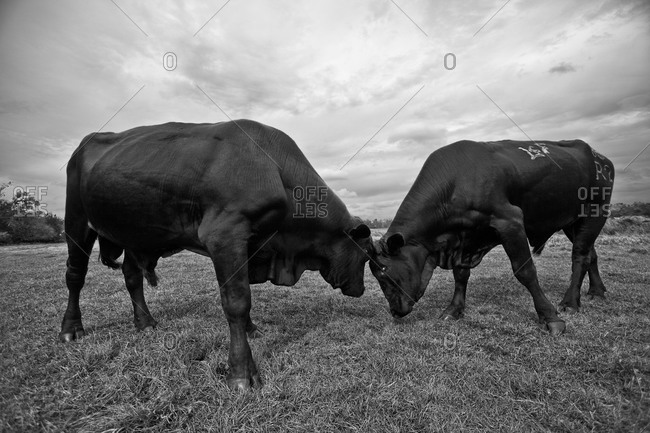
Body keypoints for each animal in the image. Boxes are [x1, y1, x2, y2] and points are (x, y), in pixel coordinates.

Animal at [61, 120, 372, 390]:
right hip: (76, 221)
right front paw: (241, 373)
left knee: (132, 276)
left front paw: (251, 329)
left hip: (135, 234)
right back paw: (71, 328)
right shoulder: (225, 235)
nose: (361, 289)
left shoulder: (247, 247)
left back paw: (145, 323)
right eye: (367, 256)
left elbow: (243, 295)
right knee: (75, 276)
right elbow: (236, 302)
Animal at [369, 140, 614, 335]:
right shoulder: (466, 240)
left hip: (596, 212)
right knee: (591, 254)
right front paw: (454, 309)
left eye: (383, 270)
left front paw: (550, 317)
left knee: (580, 256)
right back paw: (596, 291)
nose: (395, 311)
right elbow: (461, 275)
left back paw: (571, 302)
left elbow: (525, 271)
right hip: (573, 223)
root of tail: (601, 158)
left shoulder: (510, 221)